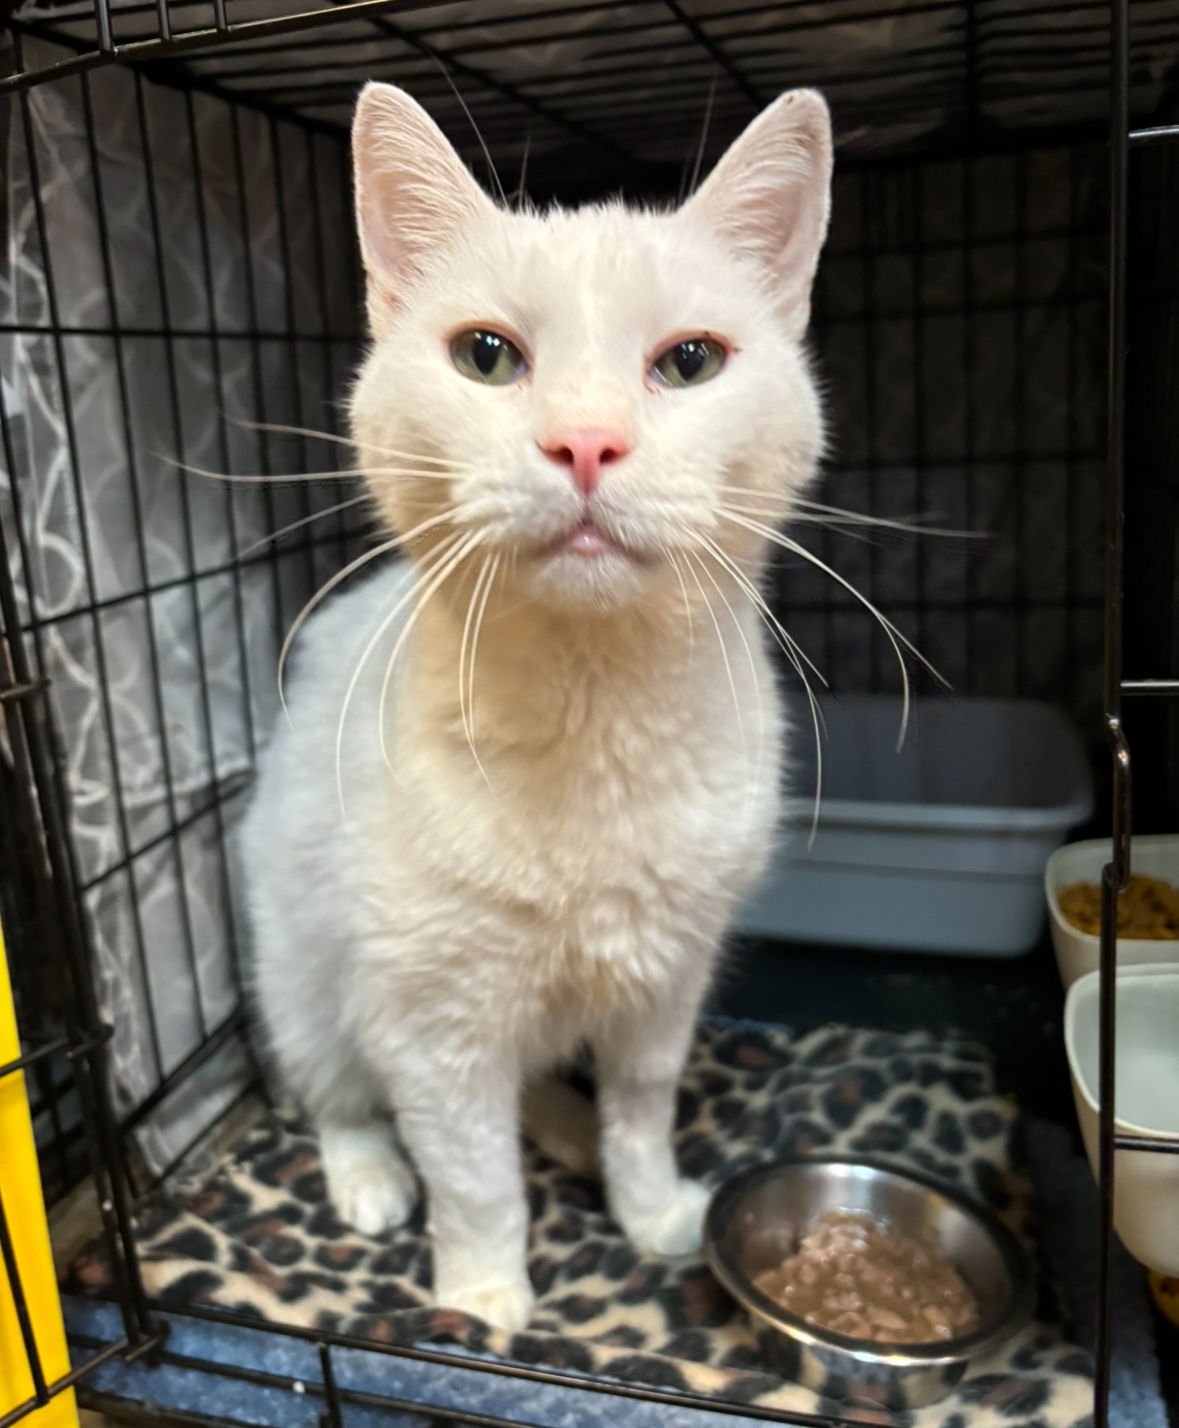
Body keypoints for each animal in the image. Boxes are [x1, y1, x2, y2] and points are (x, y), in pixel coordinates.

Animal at [241, 78, 827, 1330]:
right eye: (486, 356)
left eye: (690, 362)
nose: (585, 442)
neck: (593, 712)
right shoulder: (432, 1026)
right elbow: (470, 1173)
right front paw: (480, 1299)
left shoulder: (665, 980)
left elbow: (642, 1109)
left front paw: (648, 1210)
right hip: (303, 974)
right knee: (340, 1094)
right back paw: (371, 1173)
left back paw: (562, 1129)